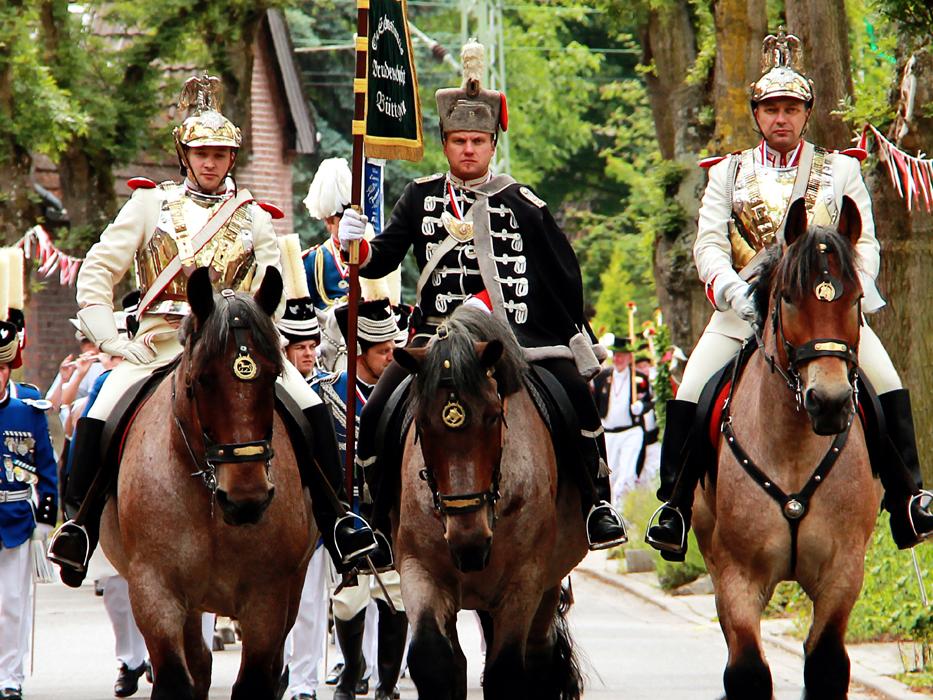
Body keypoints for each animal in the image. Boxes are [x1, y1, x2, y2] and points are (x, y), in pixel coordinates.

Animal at [99, 268, 314, 700]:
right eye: (203, 379)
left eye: (273, 375)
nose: (246, 499)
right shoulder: (154, 590)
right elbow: (175, 679)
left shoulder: (268, 595)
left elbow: (255, 681)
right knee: (198, 663)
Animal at [396, 308, 588, 700]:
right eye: (422, 422)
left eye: (493, 416)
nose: (469, 542)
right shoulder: (418, 568)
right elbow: (433, 660)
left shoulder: (524, 580)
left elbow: (508, 671)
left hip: (545, 585)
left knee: (539, 654)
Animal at [692, 198, 880, 700]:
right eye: (790, 298)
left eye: (856, 299)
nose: (829, 402)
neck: (794, 447)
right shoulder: (737, 575)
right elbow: (748, 670)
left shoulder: (842, 573)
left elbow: (827, 663)